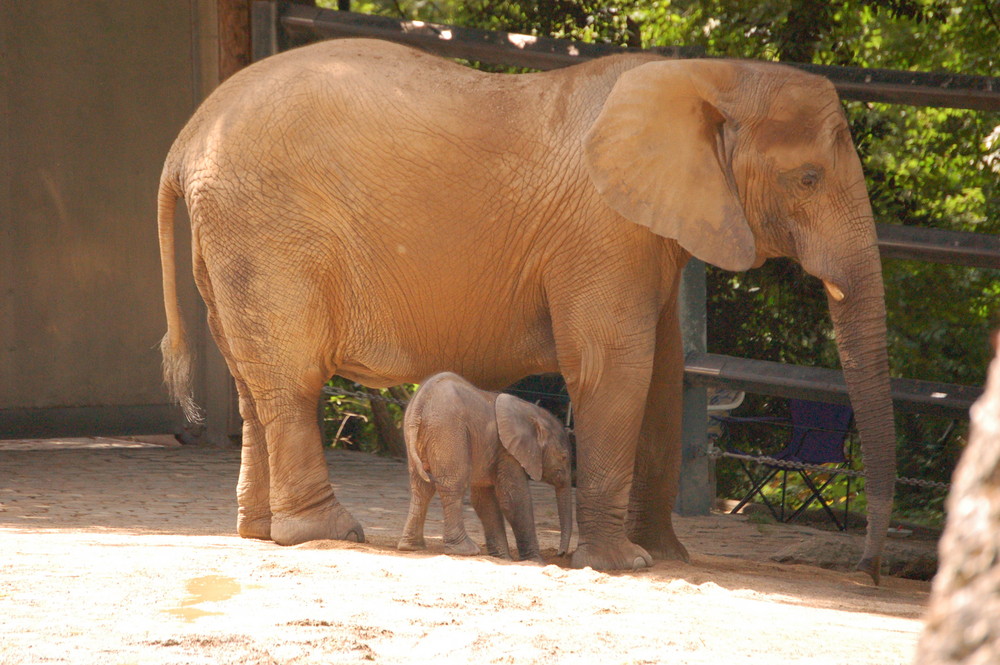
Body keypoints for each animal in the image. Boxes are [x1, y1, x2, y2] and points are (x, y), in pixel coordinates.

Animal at [396, 374, 572, 560]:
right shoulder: (507, 450)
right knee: (452, 485)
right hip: (448, 431)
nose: (560, 554)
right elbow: (513, 499)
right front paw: (534, 561)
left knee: (422, 488)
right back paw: (465, 550)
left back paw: (411, 547)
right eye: (564, 457)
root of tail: (421, 401)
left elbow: (484, 499)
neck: (532, 412)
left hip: (419, 434)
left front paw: (502, 558)